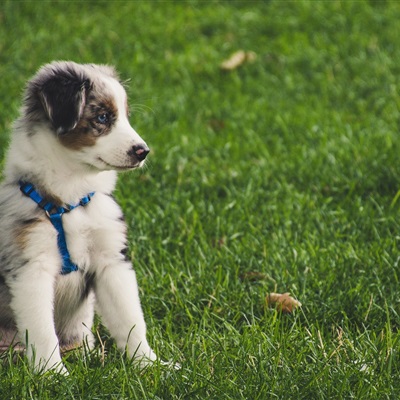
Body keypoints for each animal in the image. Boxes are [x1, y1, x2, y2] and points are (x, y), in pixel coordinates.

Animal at [0, 61, 159, 374]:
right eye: (102, 117)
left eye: (125, 116)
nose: (143, 151)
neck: (71, 200)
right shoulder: (31, 268)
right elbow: (42, 330)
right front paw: (53, 374)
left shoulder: (111, 260)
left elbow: (130, 319)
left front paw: (151, 366)